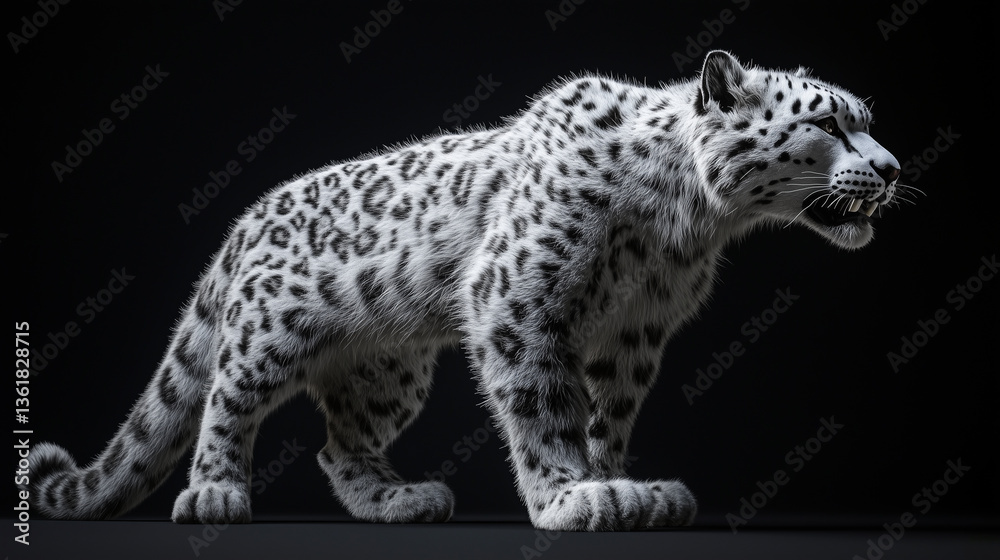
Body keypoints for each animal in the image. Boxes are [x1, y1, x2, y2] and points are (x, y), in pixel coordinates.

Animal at [28, 51, 906, 531]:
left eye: (865, 118)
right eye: (829, 124)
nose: (895, 168)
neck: (685, 222)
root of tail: (243, 223)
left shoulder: (634, 333)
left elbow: (607, 414)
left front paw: (621, 483)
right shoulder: (520, 298)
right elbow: (543, 407)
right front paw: (571, 498)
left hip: (390, 371)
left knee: (338, 443)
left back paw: (399, 501)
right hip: (266, 334)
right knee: (224, 399)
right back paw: (214, 494)